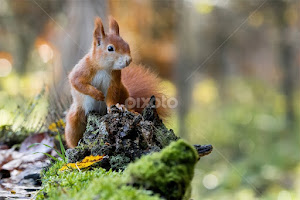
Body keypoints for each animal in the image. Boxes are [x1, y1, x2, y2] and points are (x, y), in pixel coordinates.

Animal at [65, 17, 169, 148]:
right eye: (110, 48)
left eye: (127, 44)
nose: (128, 60)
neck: (104, 67)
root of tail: (99, 111)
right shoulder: (83, 69)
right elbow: (76, 82)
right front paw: (97, 94)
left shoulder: (115, 80)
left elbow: (112, 95)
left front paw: (115, 106)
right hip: (75, 118)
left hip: (124, 91)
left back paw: (130, 110)